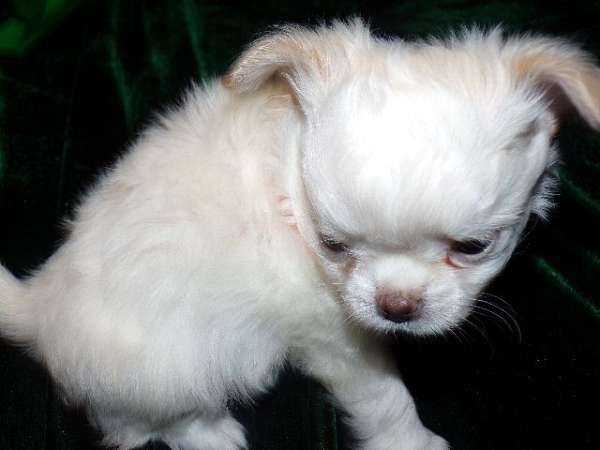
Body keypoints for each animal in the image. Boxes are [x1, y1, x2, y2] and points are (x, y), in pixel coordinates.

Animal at [1, 18, 600, 450]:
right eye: (333, 246)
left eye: (473, 247)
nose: (396, 306)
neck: (286, 179)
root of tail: (39, 305)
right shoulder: (335, 339)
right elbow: (385, 397)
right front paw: (412, 442)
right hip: (177, 365)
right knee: (141, 422)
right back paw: (211, 434)